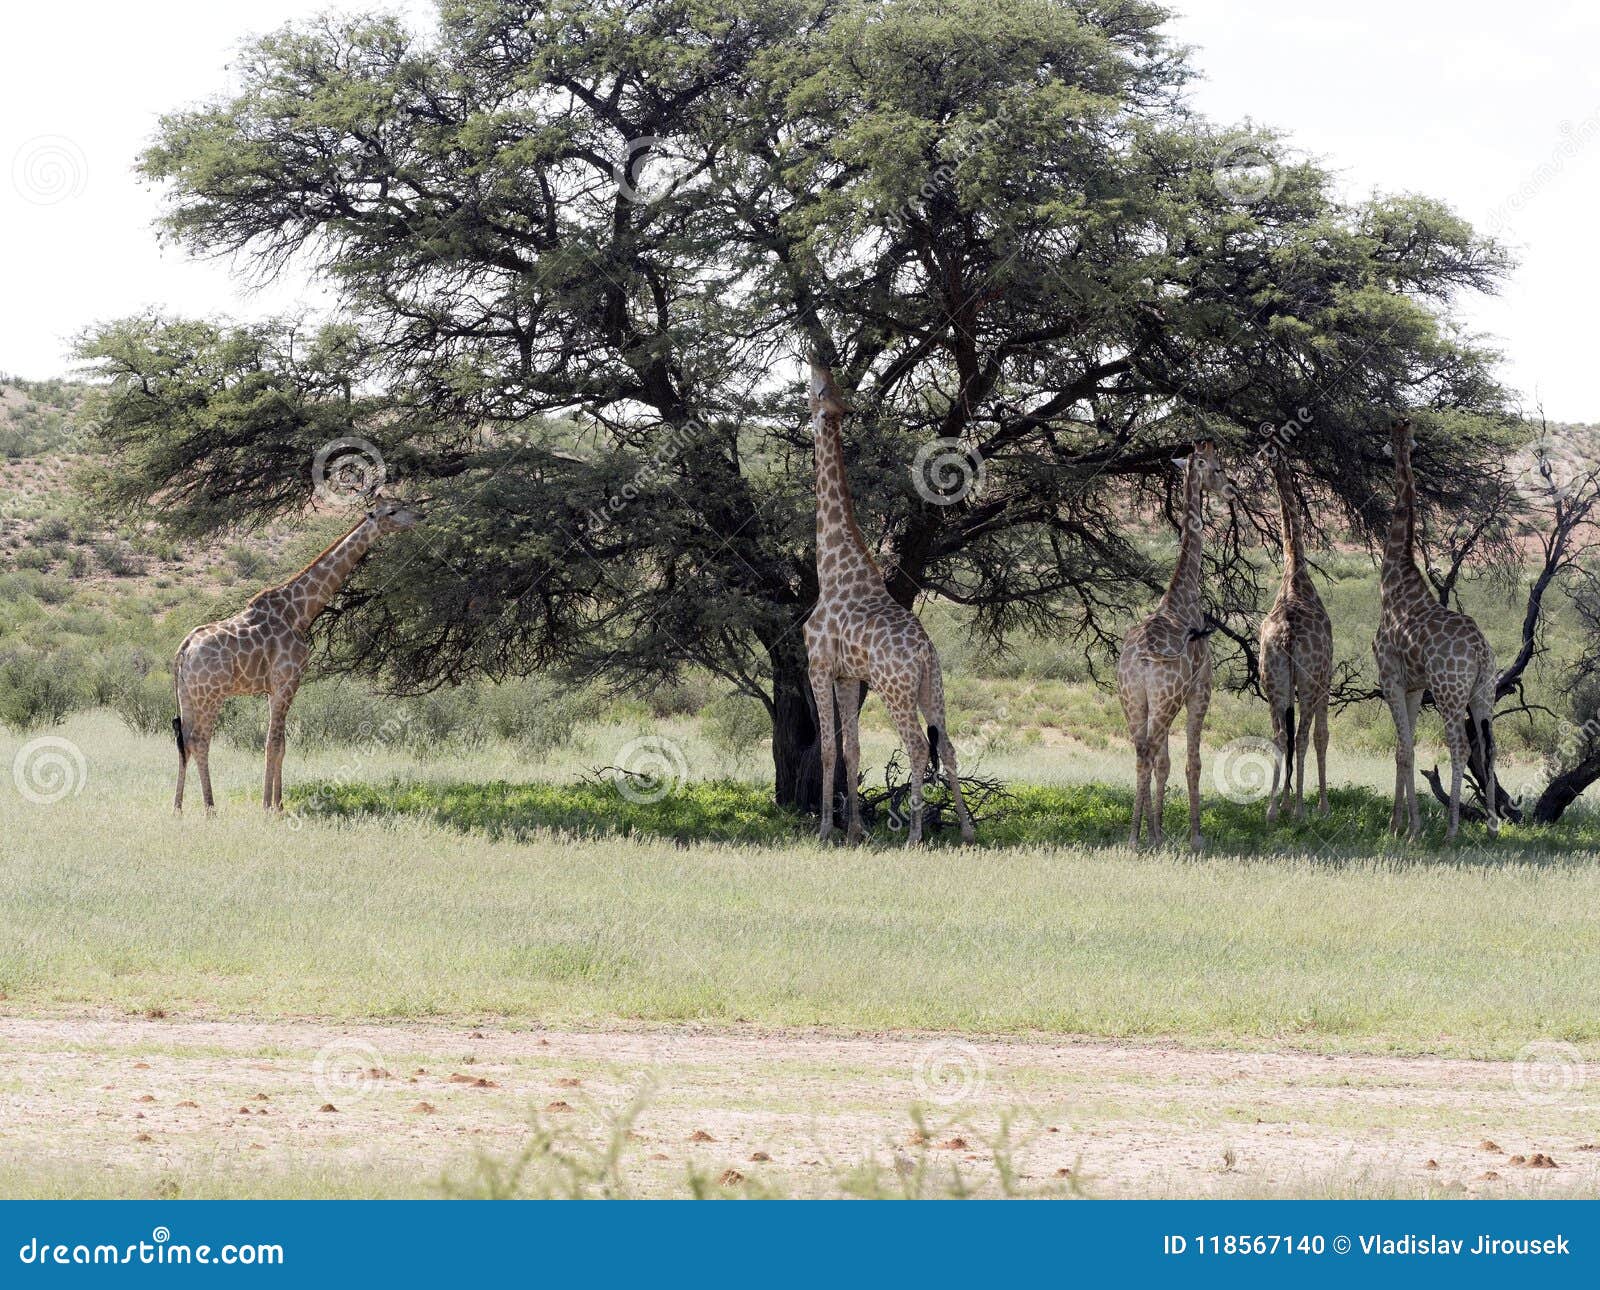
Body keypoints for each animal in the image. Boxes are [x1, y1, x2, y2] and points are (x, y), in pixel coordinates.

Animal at [173, 496, 425, 819]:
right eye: (392, 511)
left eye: (403, 503)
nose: (421, 516)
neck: (299, 613)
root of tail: (184, 649)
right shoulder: (287, 682)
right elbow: (272, 743)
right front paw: (268, 807)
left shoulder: (274, 688)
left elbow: (281, 745)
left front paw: (279, 805)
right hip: (212, 694)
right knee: (200, 741)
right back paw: (210, 808)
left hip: (188, 695)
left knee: (184, 742)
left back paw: (178, 807)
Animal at [800, 358, 972, 851]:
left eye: (818, 387)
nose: (812, 357)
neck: (832, 570)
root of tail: (925, 652)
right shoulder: (847, 675)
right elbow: (852, 748)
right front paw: (855, 829)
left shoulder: (818, 664)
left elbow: (829, 748)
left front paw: (826, 829)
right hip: (932, 687)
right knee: (947, 744)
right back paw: (968, 828)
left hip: (895, 690)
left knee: (917, 745)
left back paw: (914, 834)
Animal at [1120, 438, 1228, 851]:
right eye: (1218, 468)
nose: (1231, 489)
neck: (1183, 596)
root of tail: (1142, 660)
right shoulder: (1201, 687)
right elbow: (1192, 762)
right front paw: (1196, 835)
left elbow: (1165, 764)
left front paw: (1161, 829)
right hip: (1165, 700)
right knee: (1150, 751)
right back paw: (1141, 836)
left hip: (1134, 700)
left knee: (1142, 752)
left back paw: (1137, 835)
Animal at [1376, 416, 1497, 851]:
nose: (1391, 449)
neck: (1394, 582)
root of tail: (1480, 650)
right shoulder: (1413, 686)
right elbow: (1401, 749)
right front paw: (1397, 824)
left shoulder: (1390, 677)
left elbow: (1406, 750)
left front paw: (1409, 828)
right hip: (1482, 692)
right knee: (1489, 748)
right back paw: (1493, 825)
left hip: (1448, 691)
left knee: (1459, 747)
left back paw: (1452, 829)